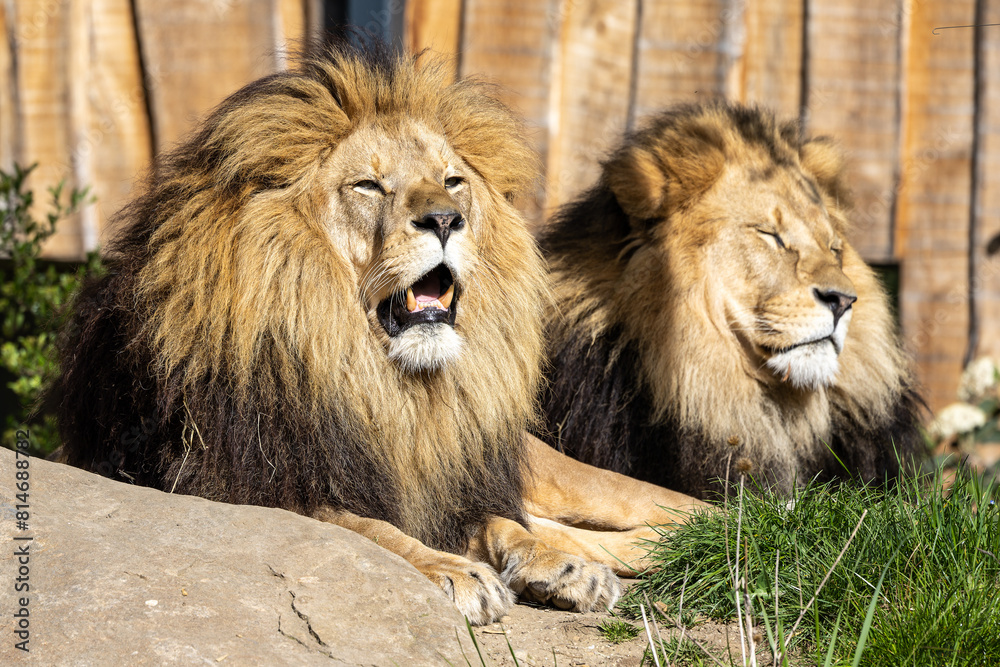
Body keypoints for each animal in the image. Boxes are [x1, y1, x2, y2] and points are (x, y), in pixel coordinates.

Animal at [51, 40, 705, 625]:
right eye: (369, 186)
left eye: (453, 181)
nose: (445, 219)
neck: (379, 381)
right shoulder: (243, 485)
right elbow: (370, 528)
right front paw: (456, 571)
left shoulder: (445, 478)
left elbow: (500, 523)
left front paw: (555, 567)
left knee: (654, 506)